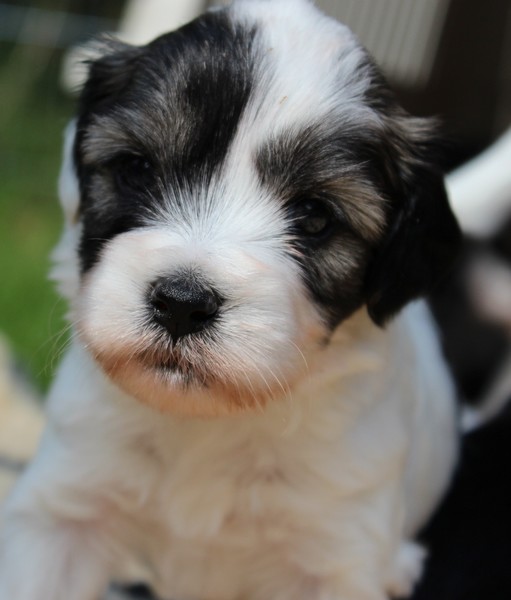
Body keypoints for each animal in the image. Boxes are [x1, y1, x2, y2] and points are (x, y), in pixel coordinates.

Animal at [0, 1, 461, 598]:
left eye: (314, 215)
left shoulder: (338, 553)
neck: (209, 421)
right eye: (137, 168)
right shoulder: (62, 514)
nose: (181, 303)